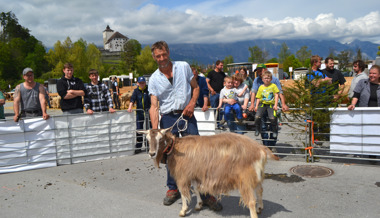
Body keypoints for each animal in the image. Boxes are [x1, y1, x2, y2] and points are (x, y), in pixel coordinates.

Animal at [138, 129, 280, 217]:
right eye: (147, 139)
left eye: (160, 139)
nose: (151, 153)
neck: (175, 147)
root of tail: (261, 149)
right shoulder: (194, 173)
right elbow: (196, 189)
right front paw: (199, 205)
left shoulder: (183, 176)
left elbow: (184, 194)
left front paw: (183, 210)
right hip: (256, 175)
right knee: (260, 191)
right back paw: (259, 208)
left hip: (245, 178)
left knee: (250, 201)